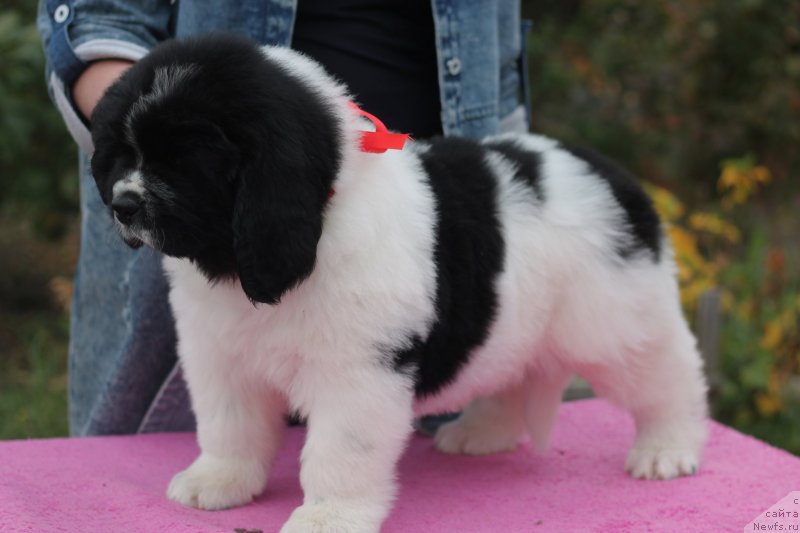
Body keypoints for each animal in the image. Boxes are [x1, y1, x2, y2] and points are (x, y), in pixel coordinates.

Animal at [90, 34, 708, 532]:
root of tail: (614, 175)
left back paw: (668, 446)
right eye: (123, 153)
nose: (123, 205)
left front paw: (328, 518)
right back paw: (484, 432)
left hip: (615, 319)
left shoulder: (359, 372)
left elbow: (339, 451)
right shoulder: (220, 356)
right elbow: (228, 425)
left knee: (667, 373)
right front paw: (218, 481)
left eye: (182, 160)